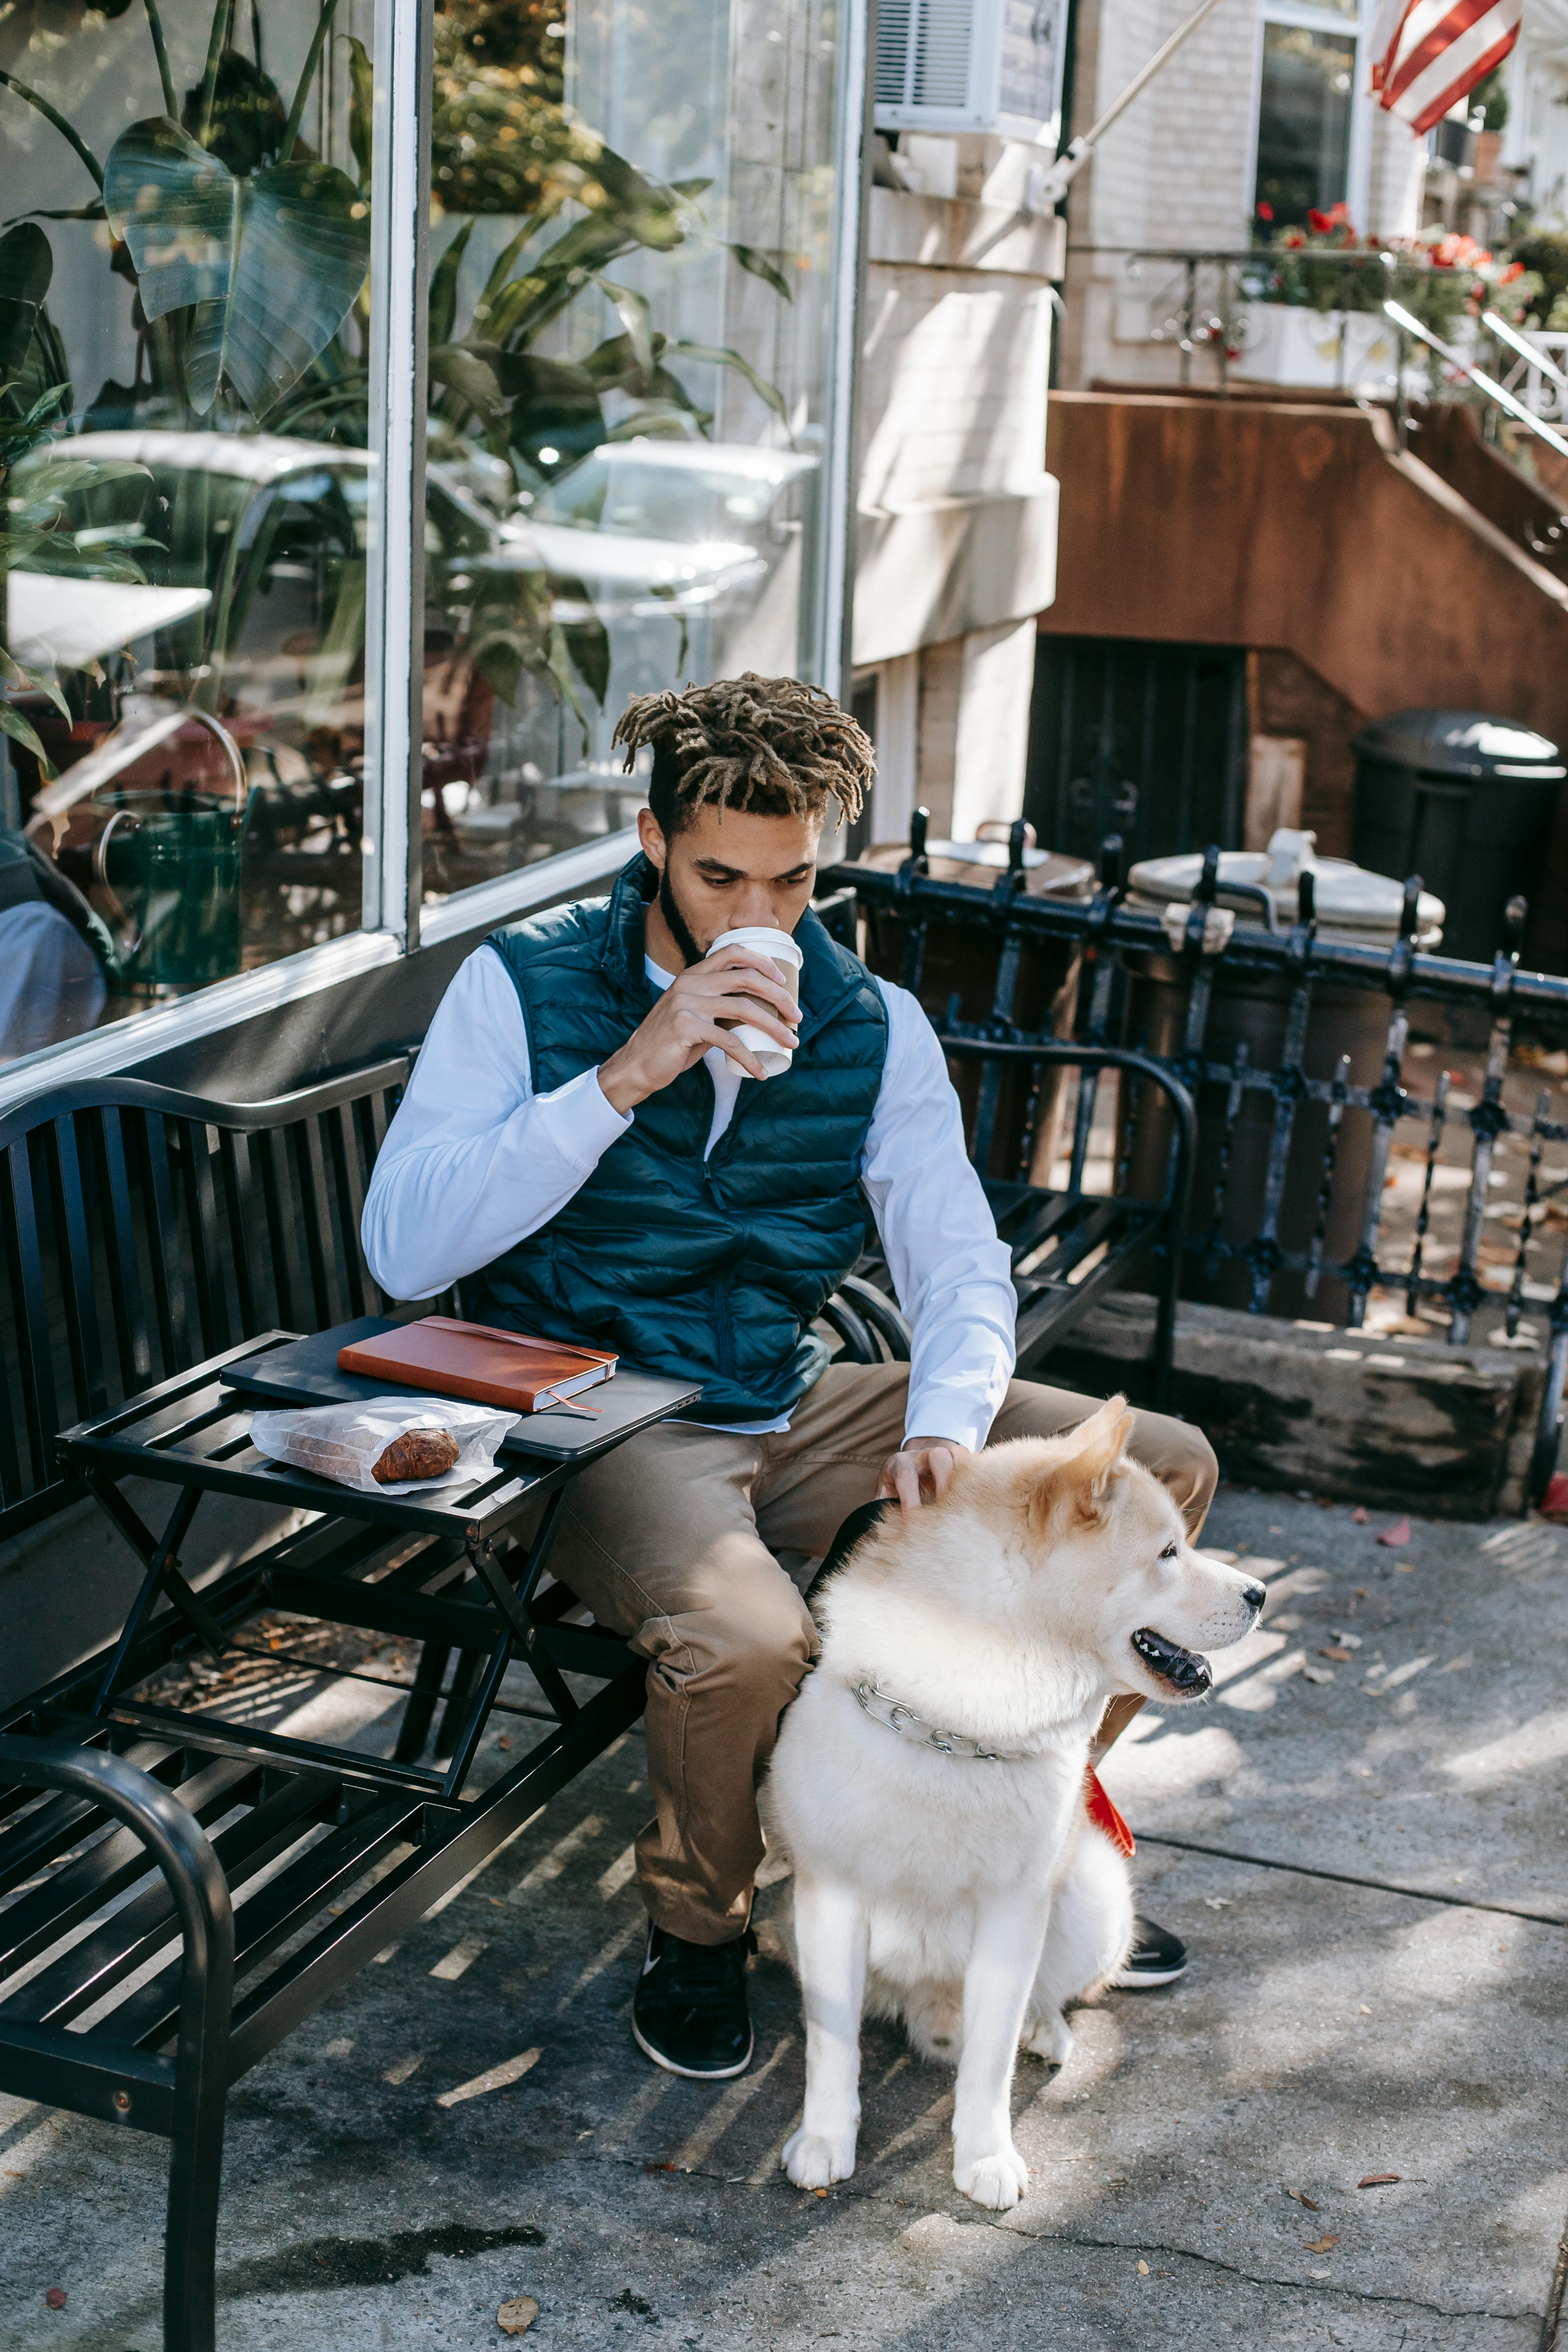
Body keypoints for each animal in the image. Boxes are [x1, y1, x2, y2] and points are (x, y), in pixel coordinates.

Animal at [766, 1402, 1269, 2211]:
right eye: (1167, 1553)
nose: (1262, 1594)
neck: (955, 1728)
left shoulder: (1013, 1913)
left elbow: (990, 2061)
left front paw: (986, 2155)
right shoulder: (830, 1899)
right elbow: (833, 2046)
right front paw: (824, 2139)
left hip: (1095, 1894)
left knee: (1045, 1998)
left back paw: (1044, 2029)